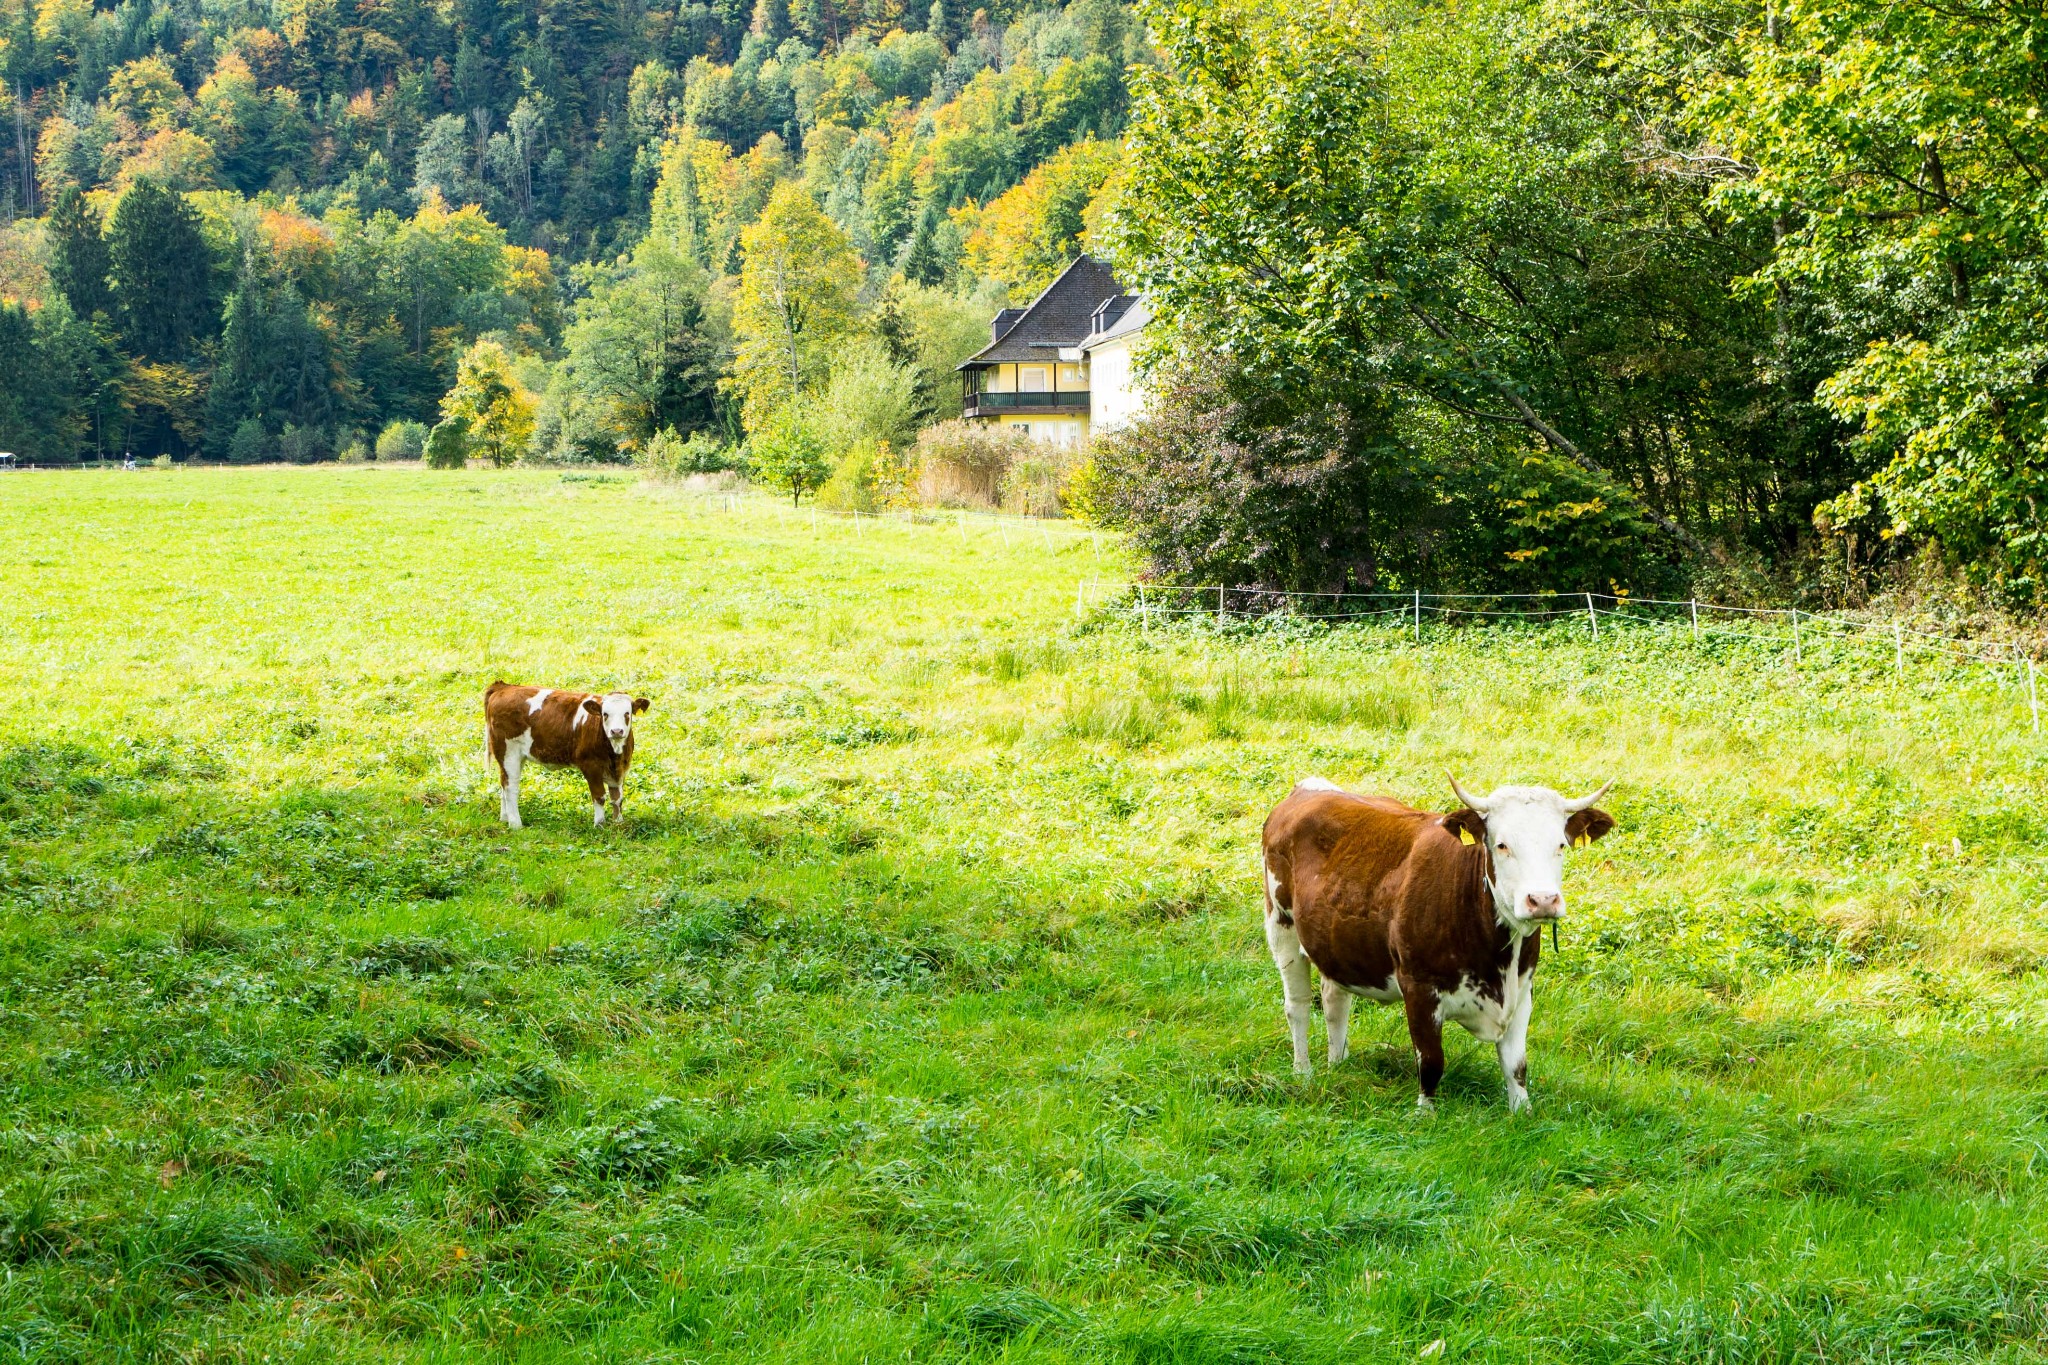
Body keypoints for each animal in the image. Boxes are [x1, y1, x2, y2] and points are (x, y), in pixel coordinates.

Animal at [481, 679, 647, 826]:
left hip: (515, 755)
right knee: (511, 786)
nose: (616, 731)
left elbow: (617, 798)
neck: (615, 753)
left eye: (627, 713)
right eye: (605, 714)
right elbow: (599, 796)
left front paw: (618, 823)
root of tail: (504, 687)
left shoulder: (620, 768)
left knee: (503, 782)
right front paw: (600, 825)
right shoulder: (591, 766)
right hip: (508, 751)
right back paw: (515, 824)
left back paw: (505, 818)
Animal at [1261, 777, 1613, 1113]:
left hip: (1335, 943)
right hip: (1281, 925)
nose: (1542, 900)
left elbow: (1516, 1066)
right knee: (1298, 1005)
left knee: (1335, 1000)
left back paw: (1338, 1064)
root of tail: (1308, 789)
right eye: (1502, 845)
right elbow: (1431, 1061)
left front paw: (1522, 1113)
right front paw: (1425, 1114)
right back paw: (1303, 1072)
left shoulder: (1522, 987)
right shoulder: (1418, 985)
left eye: (1561, 845)